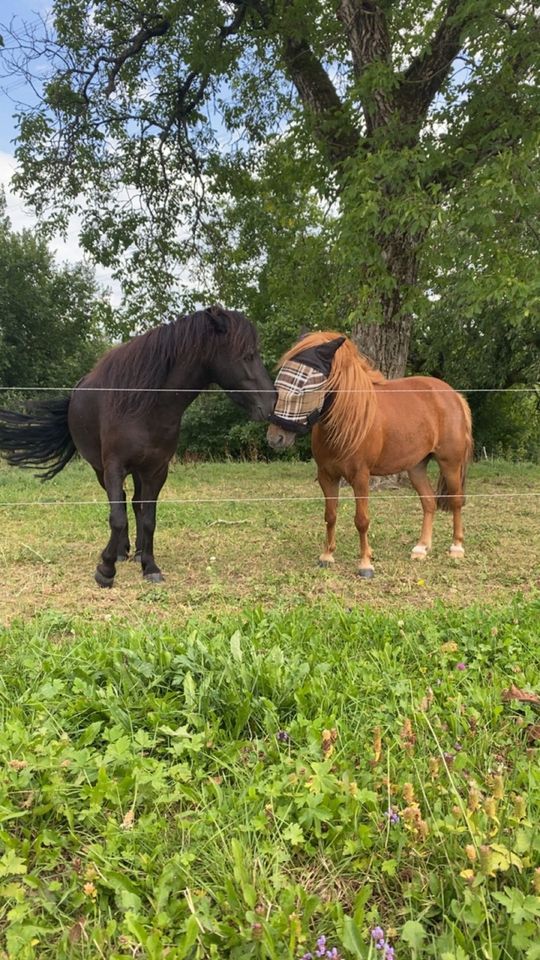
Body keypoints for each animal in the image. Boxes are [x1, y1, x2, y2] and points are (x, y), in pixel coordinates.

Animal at [0, 306, 276, 584]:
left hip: (139, 470)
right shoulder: (114, 467)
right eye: (247, 355)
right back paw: (120, 551)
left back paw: (138, 550)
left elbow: (149, 518)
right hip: (101, 469)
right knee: (122, 502)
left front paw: (150, 565)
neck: (145, 406)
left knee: (136, 503)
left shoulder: (157, 470)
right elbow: (117, 517)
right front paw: (106, 568)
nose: (272, 401)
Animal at [266, 330, 472, 576]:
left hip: (450, 463)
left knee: (457, 501)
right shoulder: (327, 476)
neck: (347, 419)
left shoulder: (361, 477)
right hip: (416, 466)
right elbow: (330, 515)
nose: (275, 438)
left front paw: (365, 564)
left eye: (304, 385)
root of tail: (454, 395)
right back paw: (421, 548)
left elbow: (362, 520)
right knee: (429, 502)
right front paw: (327, 556)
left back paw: (457, 548)